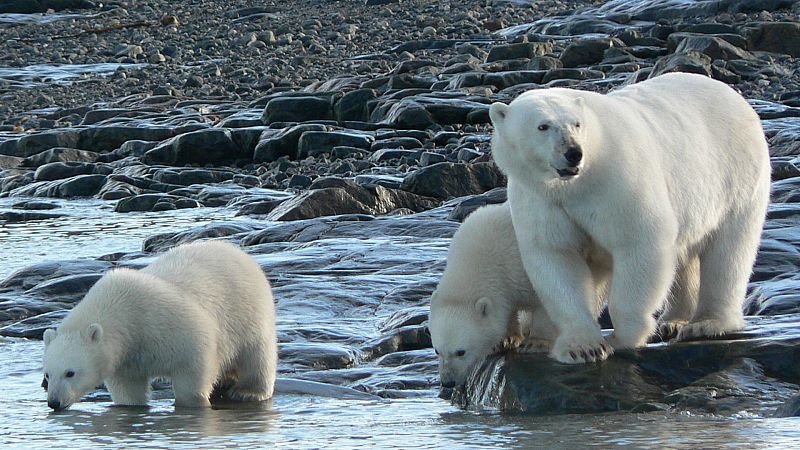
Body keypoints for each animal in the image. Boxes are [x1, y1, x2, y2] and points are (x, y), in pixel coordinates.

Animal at [43, 241, 278, 410]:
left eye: (70, 373)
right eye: (47, 374)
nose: (54, 402)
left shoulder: (166, 324)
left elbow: (194, 362)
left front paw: (193, 403)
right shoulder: (125, 359)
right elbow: (128, 390)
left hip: (248, 311)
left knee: (257, 354)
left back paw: (249, 391)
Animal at [490, 72, 772, 364]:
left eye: (576, 123)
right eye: (543, 126)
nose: (573, 153)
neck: (577, 183)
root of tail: (732, 95)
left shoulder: (618, 180)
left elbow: (639, 242)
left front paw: (622, 337)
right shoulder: (541, 199)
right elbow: (557, 256)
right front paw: (583, 347)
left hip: (736, 177)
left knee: (728, 253)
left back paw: (707, 323)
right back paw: (674, 320)